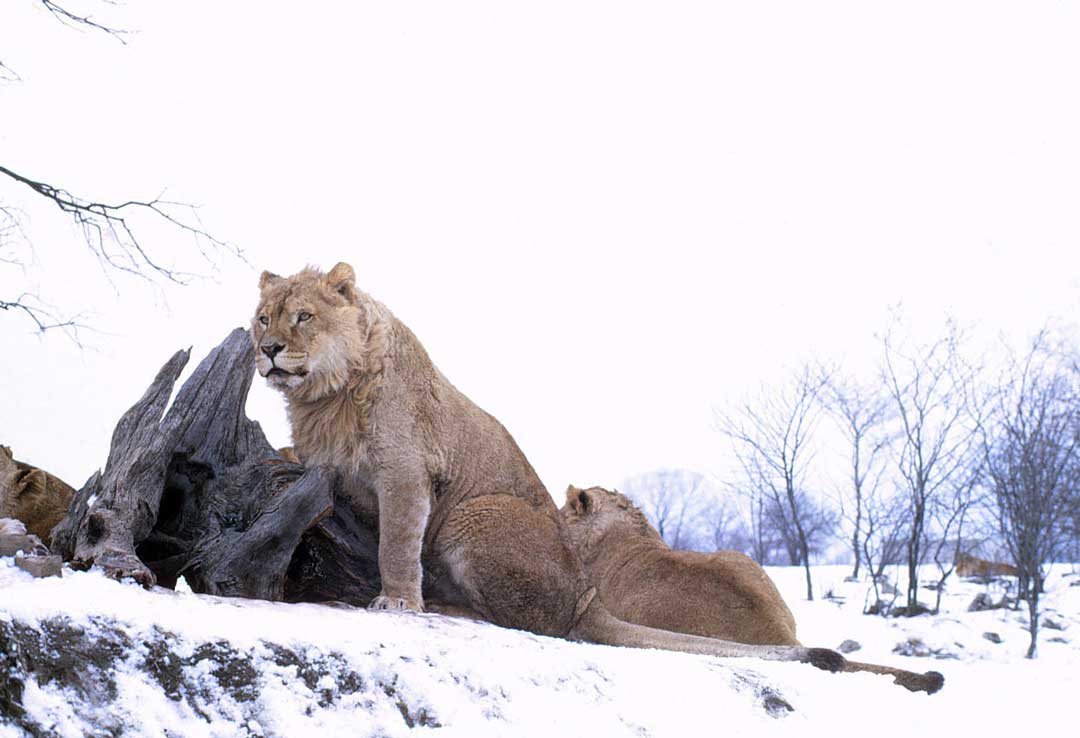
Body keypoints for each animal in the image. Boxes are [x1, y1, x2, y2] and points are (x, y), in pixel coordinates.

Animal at [252, 263, 845, 674]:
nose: (269, 348)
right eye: (263, 317)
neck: (326, 396)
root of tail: (587, 595)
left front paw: (397, 601)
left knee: (533, 623)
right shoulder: (324, 460)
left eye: (304, 316)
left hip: (476, 512)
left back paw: (446, 605)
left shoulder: (406, 471)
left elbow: (396, 543)